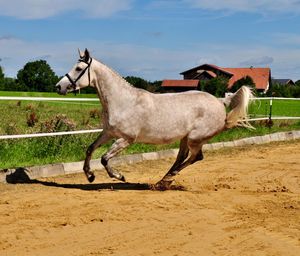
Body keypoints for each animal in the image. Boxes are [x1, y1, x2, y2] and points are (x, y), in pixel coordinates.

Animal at [56, 49, 253, 189]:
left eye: (78, 69)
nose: (59, 87)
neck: (123, 101)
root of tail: (220, 102)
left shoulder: (126, 139)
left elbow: (104, 159)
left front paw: (119, 176)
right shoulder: (108, 133)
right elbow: (90, 149)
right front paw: (89, 175)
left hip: (195, 139)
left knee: (196, 157)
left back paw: (167, 179)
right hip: (185, 138)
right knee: (182, 157)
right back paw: (163, 180)